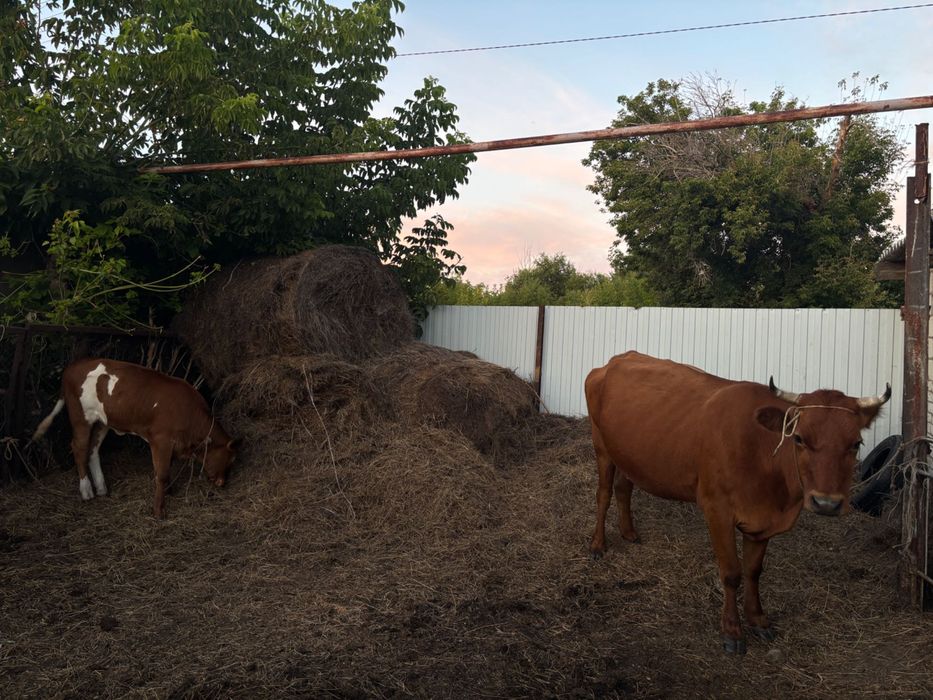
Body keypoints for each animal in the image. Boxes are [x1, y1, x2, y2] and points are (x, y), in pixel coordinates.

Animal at [32, 358, 239, 518]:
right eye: (230, 461)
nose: (222, 483)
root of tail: (73, 366)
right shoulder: (161, 440)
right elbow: (161, 474)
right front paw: (159, 511)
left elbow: (167, 468)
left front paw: (170, 491)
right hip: (80, 417)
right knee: (79, 448)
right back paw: (86, 491)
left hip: (102, 422)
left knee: (92, 450)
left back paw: (101, 488)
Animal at [585, 351, 890, 654]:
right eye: (799, 438)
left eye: (856, 443)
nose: (826, 503)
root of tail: (616, 359)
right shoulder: (716, 510)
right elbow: (732, 572)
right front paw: (732, 631)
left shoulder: (762, 522)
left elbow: (753, 571)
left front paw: (758, 619)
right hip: (601, 446)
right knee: (603, 494)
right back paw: (598, 544)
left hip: (627, 453)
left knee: (624, 486)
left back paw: (629, 532)